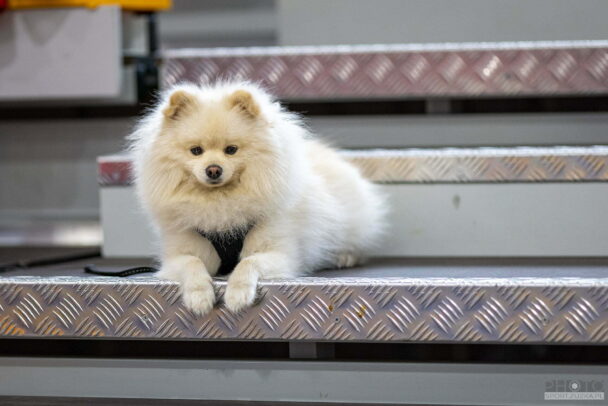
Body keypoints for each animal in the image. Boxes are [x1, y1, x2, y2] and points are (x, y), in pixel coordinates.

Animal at [128, 82, 385, 315]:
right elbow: (193, 263)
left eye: (231, 150)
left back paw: (344, 256)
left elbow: (248, 262)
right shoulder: (179, 253)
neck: (220, 205)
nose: (213, 169)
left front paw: (238, 294)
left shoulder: (281, 253)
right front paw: (198, 297)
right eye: (196, 151)